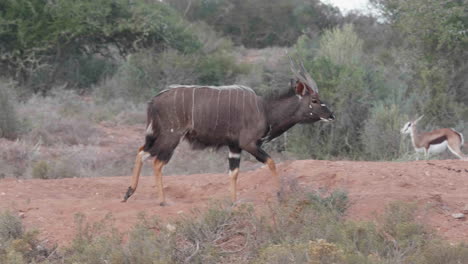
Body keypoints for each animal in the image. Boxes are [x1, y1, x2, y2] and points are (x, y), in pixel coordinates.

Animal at [122, 57, 334, 206]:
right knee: (157, 162)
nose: (331, 115)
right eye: (314, 100)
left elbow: (234, 173)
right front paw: (280, 195)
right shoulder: (249, 144)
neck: (266, 110)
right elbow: (271, 162)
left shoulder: (234, 147)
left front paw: (233, 201)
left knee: (142, 152)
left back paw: (128, 193)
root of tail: (154, 101)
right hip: (172, 136)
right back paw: (162, 200)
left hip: (160, 135)